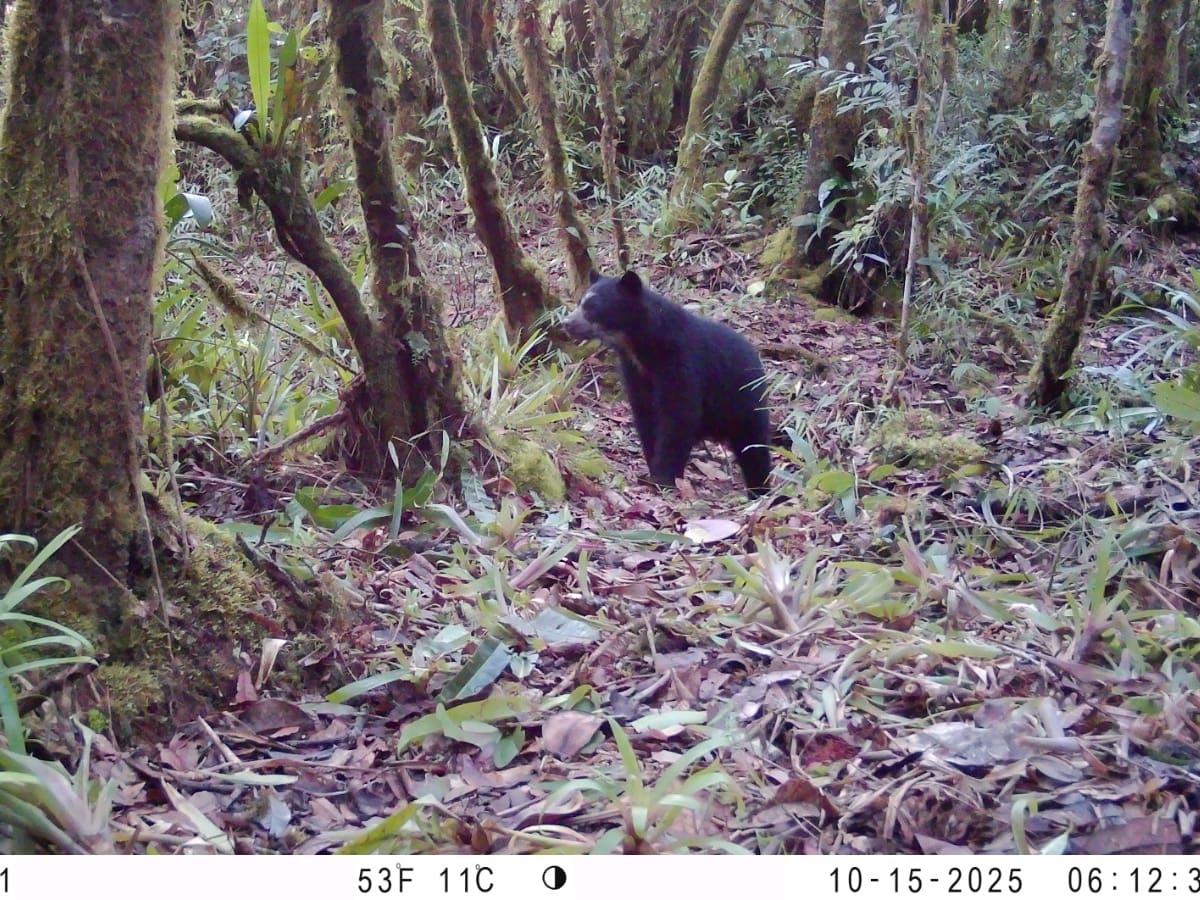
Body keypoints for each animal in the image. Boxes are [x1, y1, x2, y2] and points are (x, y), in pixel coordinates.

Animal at [563, 270, 772, 497]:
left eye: (593, 307)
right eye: (580, 303)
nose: (565, 322)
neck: (642, 349)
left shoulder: (681, 364)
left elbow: (678, 416)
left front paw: (663, 478)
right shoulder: (636, 374)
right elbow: (646, 416)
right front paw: (653, 470)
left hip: (744, 403)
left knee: (754, 448)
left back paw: (760, 490)